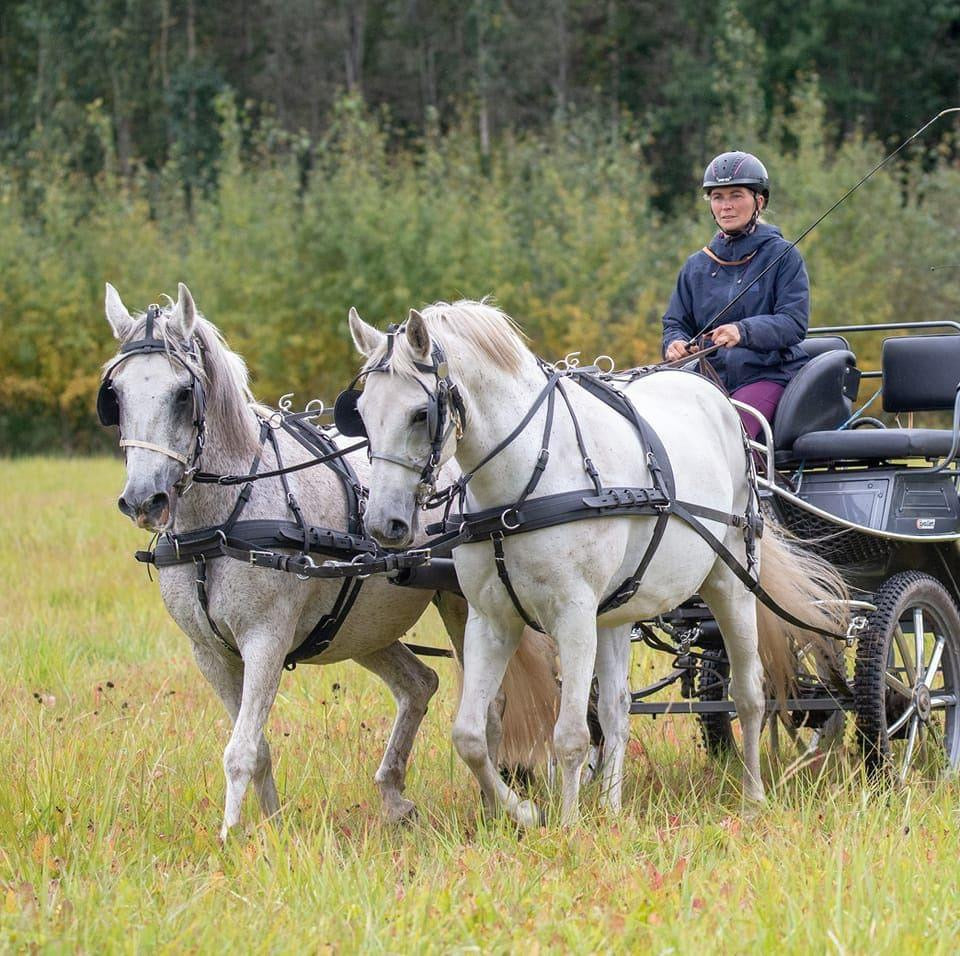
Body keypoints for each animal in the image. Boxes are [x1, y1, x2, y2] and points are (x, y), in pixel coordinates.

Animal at [99, 282, 556, 836]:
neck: (223, 521)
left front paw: (230, 837)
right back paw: (396, 796)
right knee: (418, 684)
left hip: (461, 603)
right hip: (360, 624)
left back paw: (495, 807)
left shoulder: (266, 639)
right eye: (115, 395)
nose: (144, 499)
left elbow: (240, 750)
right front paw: (270, 828)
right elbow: (257, 746)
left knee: (489, 706)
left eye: (183, 393)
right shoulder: (209, 652)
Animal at [346, 302, 848, 824]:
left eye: (420, 413)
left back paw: (752, 798)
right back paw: (611, 807)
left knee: (750, 695)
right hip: (616, 611)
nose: (383, 524)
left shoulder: (573, 615)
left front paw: (566, 826)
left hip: (731, 584)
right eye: (361, 413)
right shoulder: (492, 619)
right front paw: (524, 810)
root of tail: (715, 398)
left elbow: (569, 735)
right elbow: (469, 736)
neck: (523, 483)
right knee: (616, 709)